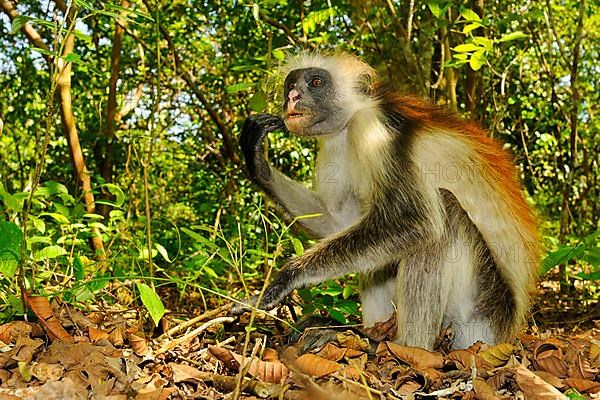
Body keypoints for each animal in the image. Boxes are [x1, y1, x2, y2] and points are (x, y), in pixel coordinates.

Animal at [234, 51, 540, 348]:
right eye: (291, 84)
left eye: (316, 82)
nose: (293, 97)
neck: (353, 116)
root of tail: (509, 331)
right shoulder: (338, 143)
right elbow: (337, 222)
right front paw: (258, 163)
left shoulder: (373, 131)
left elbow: (418, 222)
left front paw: (285, 279)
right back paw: (363, 332)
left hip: (482, 308)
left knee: (442, 218)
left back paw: (404, 348)